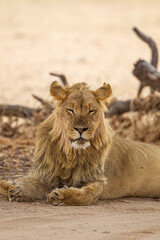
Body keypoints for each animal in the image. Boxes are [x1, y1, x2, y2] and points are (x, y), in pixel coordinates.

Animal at [0, 81, 160, 205]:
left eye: (91, 111)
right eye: (70, 110)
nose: (81, 129)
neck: (71, 153)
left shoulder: (96, 180)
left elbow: (85, 195)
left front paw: (60, 196)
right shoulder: (45, 175)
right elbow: (20, 184)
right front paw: (13, 187)